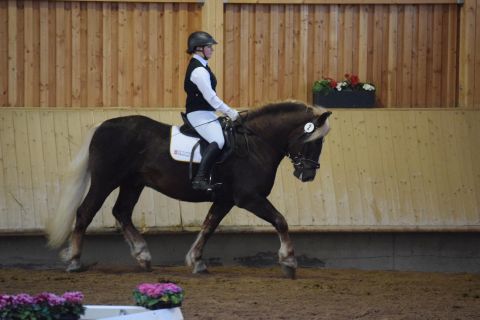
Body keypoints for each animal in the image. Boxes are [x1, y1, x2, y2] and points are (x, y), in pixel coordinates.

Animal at [47, 100, 332, 278]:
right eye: (312, 142)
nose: (307, 174)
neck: (255, 144)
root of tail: (103, 125)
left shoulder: (225, 199)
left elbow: (208, 226)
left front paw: (196, 262)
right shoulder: (249, 198)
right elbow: (280, 221)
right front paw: (289, 261)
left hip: (133, 183)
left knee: (122, 212)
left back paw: (142, 256)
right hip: (106, 180)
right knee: (85, 212)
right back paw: (74, 261)